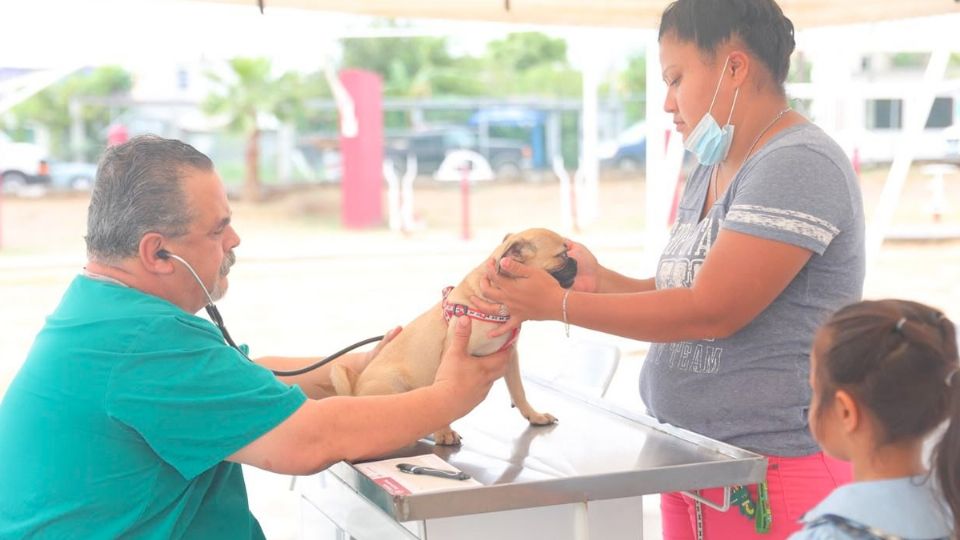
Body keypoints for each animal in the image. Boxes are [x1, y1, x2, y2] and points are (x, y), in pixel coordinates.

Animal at [328, 227, 576, 442]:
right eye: (562, 255)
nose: (575, 261)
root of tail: (354, 391)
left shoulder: (510, 356)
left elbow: (519, 391)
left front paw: (534, 415)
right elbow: (441, 402)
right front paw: (444, 433)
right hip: (393, 385)